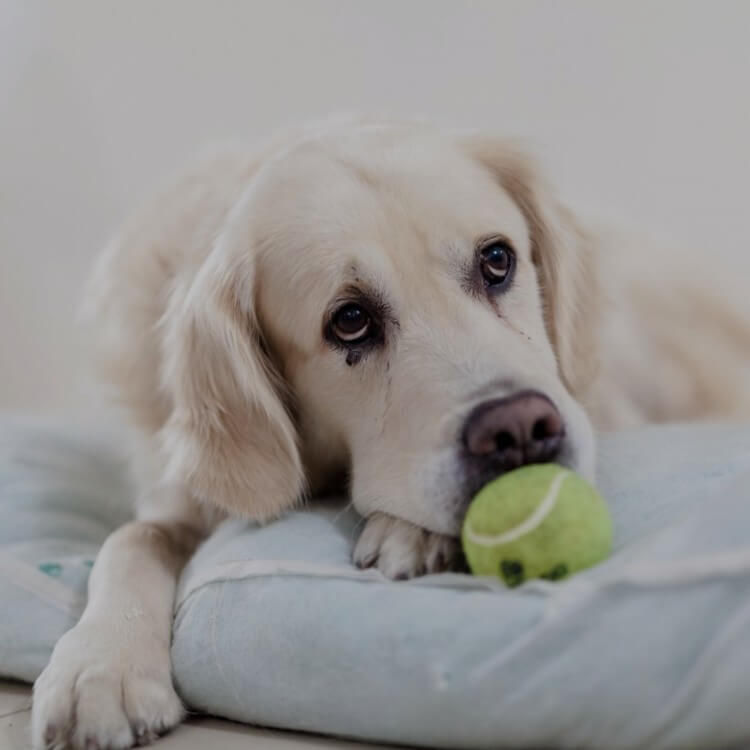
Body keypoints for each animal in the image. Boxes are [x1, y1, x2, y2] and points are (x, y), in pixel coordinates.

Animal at [30, 120, 750, 748]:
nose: (519, 429)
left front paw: (413, 529)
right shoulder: (181, 495)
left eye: (497, 260)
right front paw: (101, 666)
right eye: (349, 321)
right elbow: (132, 539)